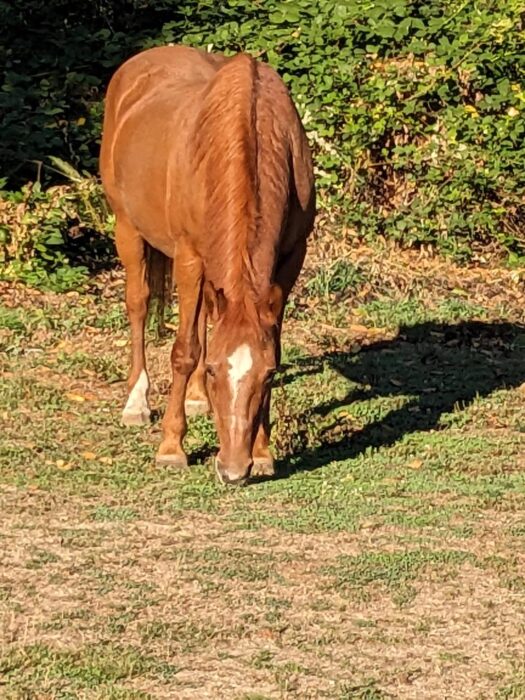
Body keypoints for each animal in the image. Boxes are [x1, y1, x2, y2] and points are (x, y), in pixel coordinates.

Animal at [100, 45, 315, 485]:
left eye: (267, 376)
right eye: (216, 371)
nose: (233, 470)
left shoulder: (291, 258)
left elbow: (259, 340)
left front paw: (263, 452)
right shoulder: (189, 254)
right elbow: (184, 350)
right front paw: (171, 447)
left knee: (199, 318)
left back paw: (195, 399)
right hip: (127, 227)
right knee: (139, 304)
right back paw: (136, 401)